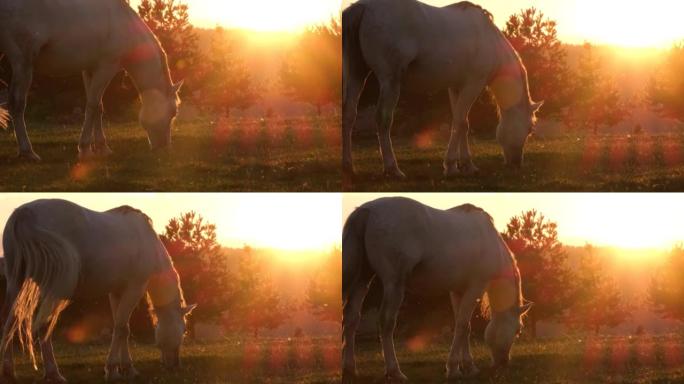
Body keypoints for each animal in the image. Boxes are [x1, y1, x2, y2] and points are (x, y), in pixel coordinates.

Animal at [0, 0, 184, 160]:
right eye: (172, 112)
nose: (164, 147)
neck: (124, 25)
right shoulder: (106, 68)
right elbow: (93, 105)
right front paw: (85, 149)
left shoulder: (89, 70)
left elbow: (98, 107)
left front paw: (102, 147)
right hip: (23, 63)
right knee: (17, 104)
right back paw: (28, 152)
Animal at [0, 200, 198, 382]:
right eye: (183, 330)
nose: (175, 365)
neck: (147, 241)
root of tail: (24, 214)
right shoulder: (135, 288)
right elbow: (120, 328)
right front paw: (112, 370)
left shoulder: (117, 292)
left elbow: (123, 329)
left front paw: (126, 368)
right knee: (42, 327)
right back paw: (53, 373)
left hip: (16, 282)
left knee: (10, 321)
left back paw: (9, 371)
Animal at [342, 0, 544, 178]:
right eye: (529, 129)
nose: (516, 163)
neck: (489, 39)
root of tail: (363, 7)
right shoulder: (473, 84)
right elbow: (460, 122)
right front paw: (451, 166)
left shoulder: (456, 87)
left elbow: (462, 123)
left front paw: (467, 165)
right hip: (390, 81)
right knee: (383, 119)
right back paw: (393, 169)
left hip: (356, 74)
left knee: (349, 114)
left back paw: (348, 167)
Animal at [344, 196, 532, 382]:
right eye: (518, 330)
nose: (504, 362)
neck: (490, 241)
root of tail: (366, 211)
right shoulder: (475, 288)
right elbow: (462, 325)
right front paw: (454, 369)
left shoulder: (458, 291)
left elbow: (464, 327)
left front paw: (469, 367)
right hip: (394, 284)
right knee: (386, 322)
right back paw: (394, 371)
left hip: (362, 279)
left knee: (351, 318)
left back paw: (350, 369)